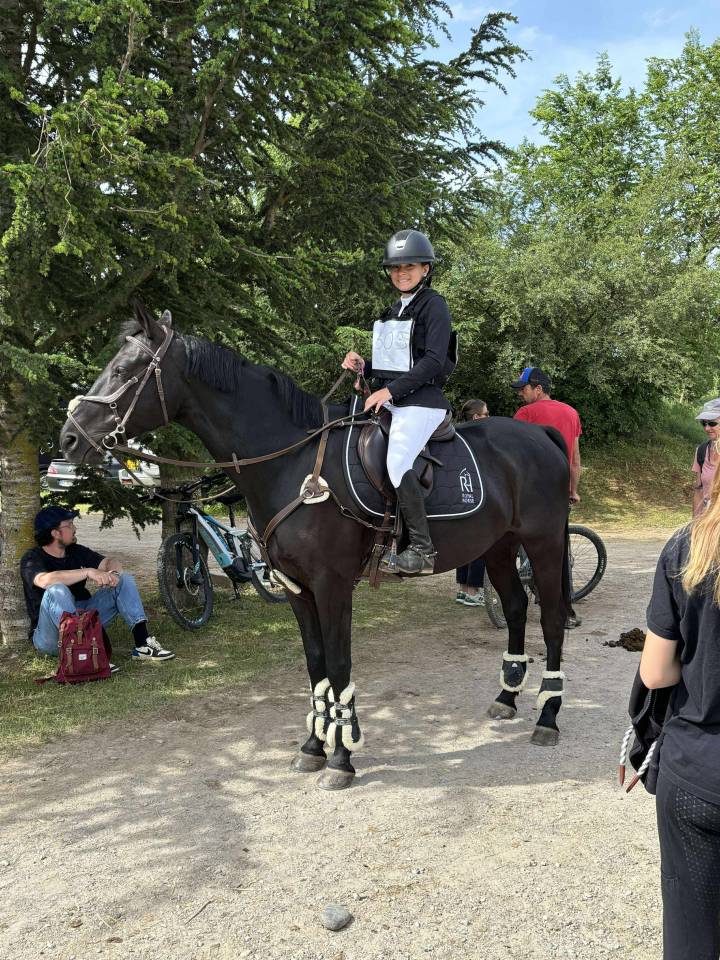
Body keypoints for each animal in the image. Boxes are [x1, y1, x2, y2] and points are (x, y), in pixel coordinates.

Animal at [59, 303, 572, 790]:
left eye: (124, 370)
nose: (68, 438)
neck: (292, 463)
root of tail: (540, 435)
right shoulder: (296, 589)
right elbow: (316, 665)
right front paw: (313, 747)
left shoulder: (332, 585)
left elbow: (340, 666)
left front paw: (342, 759)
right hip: (499, 548)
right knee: (515, 607)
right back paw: (506, 698)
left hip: (543, 545)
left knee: (549, 618)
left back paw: (548, 719)